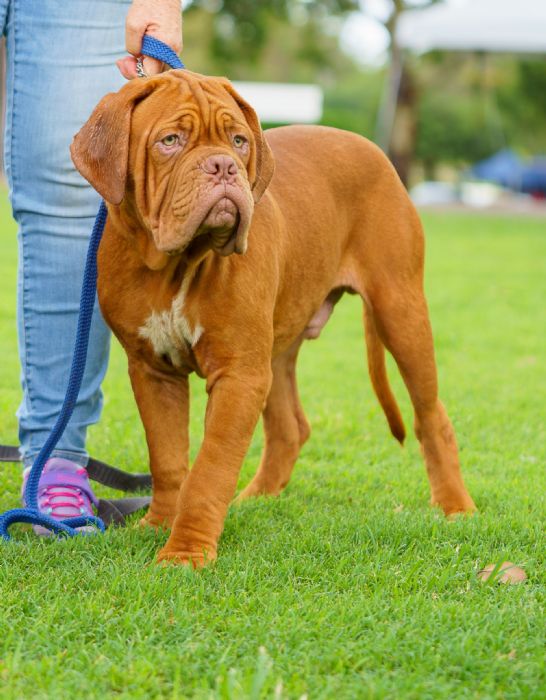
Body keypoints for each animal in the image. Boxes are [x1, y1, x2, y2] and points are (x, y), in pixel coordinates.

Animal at [71, 69, 475, 567]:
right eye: (170, 140)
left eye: (238, 141)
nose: (223, 166)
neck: (176, 265)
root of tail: (370, 147)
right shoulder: (153, 371)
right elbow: (167, 459)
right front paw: (160, 523)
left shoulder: (239, 374)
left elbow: (210, 468)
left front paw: (186, 551)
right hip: (278, 346)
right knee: (288, 428)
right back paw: (256, 498)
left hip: (400, 311)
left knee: (431, 417)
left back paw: (455, 506)